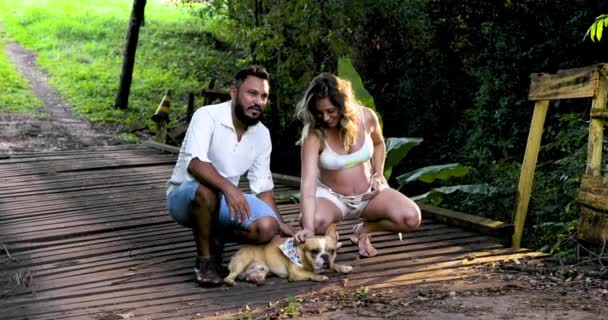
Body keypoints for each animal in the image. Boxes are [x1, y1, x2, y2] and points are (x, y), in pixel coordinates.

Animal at [224, 224, 352, 286]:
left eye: (331, 251)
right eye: (314, 251)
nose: (325, 256)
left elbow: (333, 264)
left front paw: (343, 267)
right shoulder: (295, 273)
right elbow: (310, 273)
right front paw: (319, 276)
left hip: (262, 271)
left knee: (251, 277)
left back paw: (257, 280)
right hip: (242, 263)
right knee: (228, 278)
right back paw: (231, 282)